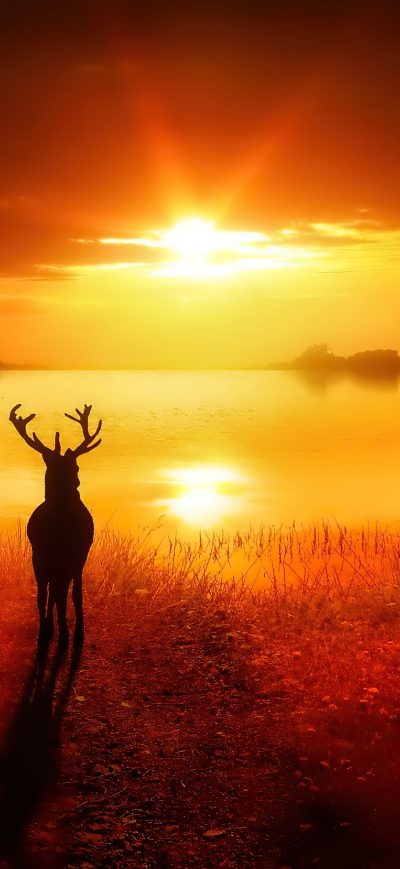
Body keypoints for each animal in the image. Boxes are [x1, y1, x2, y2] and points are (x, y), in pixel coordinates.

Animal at [9, 403, 102, 648]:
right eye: (76, 467)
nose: (77, 480)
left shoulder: (77, 553)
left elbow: (70, 592)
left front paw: (72, 631)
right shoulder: (44, 552)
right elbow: (52, 592)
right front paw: (58, 630)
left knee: (57, 588)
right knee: (52, 589)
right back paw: (54, 628)